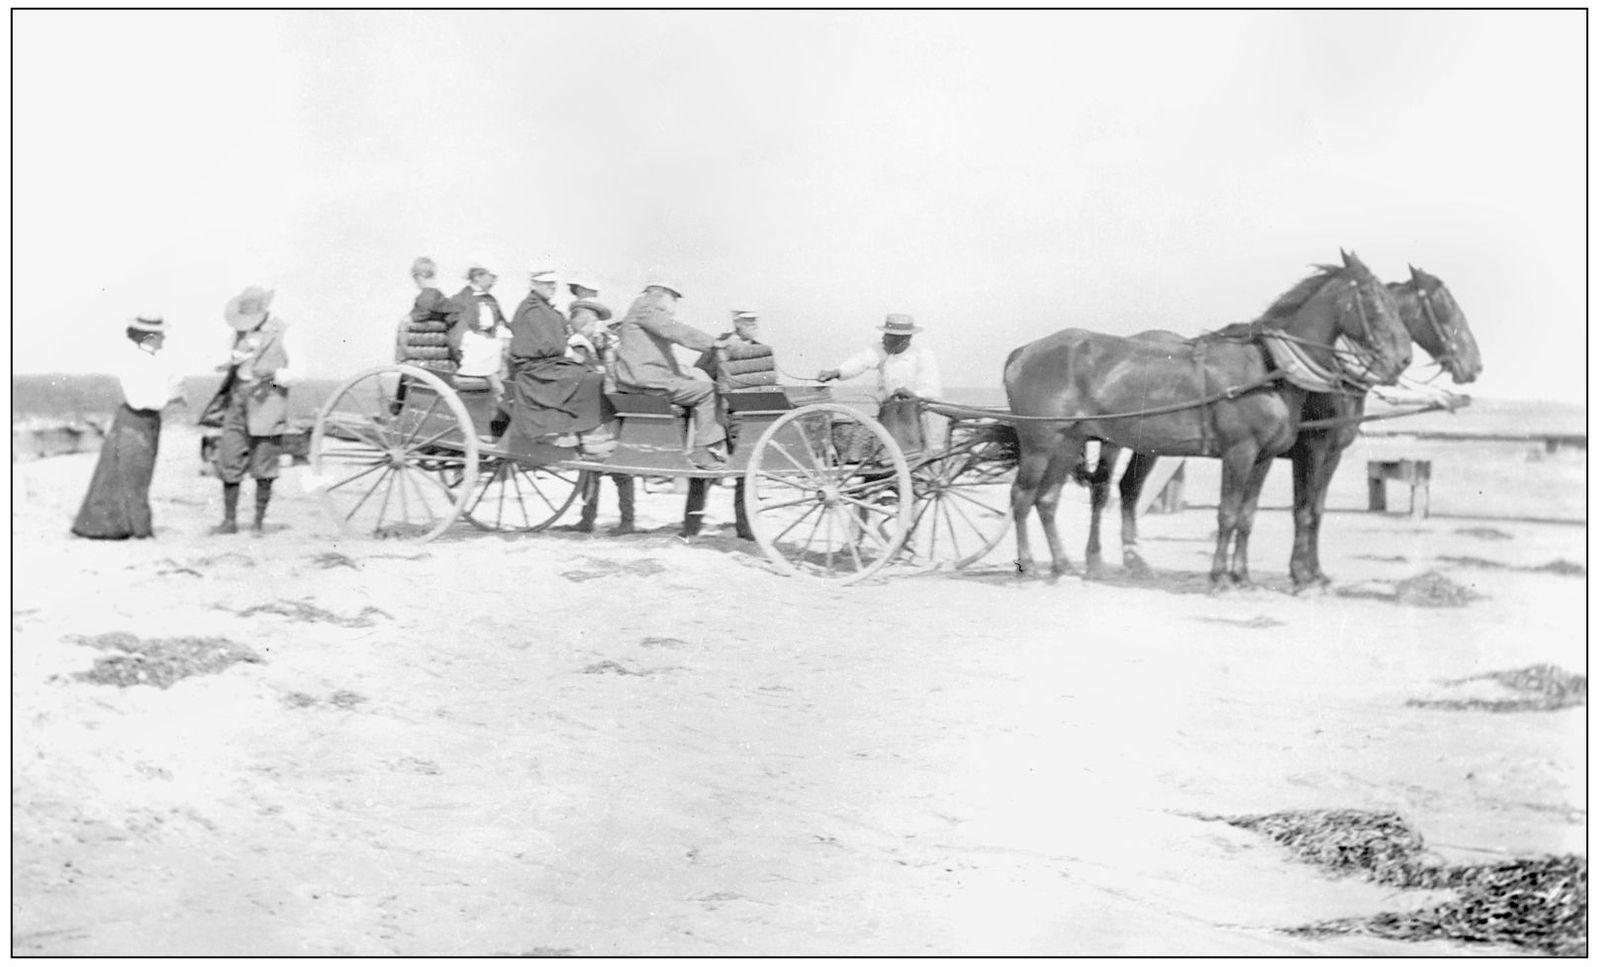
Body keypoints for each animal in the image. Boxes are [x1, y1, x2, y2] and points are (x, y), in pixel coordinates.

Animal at [1004, 249, 1412, 579]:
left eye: (1396, 305)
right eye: (1373, 301)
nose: (1402, 359)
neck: (1268, 368)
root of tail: (1023, 352)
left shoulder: (1264, 458)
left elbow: (1248, 516)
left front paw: (1242, 576)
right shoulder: (1244, 452)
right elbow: (1230, 514)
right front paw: (1222, 577)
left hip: (1069, 442)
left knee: (1048, 500)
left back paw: (1063, 565)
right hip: (1041, 443)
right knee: (1023, 497)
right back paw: (1030, 565)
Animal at [1075, 260, 1483, 583]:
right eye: (1445, 308)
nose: (1474, 367)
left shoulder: (1323, 455)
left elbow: (1313, 511)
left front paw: (1309, 571)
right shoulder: (1311, 451)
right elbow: (1303, 512)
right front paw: (1302, 574)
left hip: (1149, 445)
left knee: (1129, 488)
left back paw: (1133, 559)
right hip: (1114, 440)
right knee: (1104, 490)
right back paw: (1095, 559)